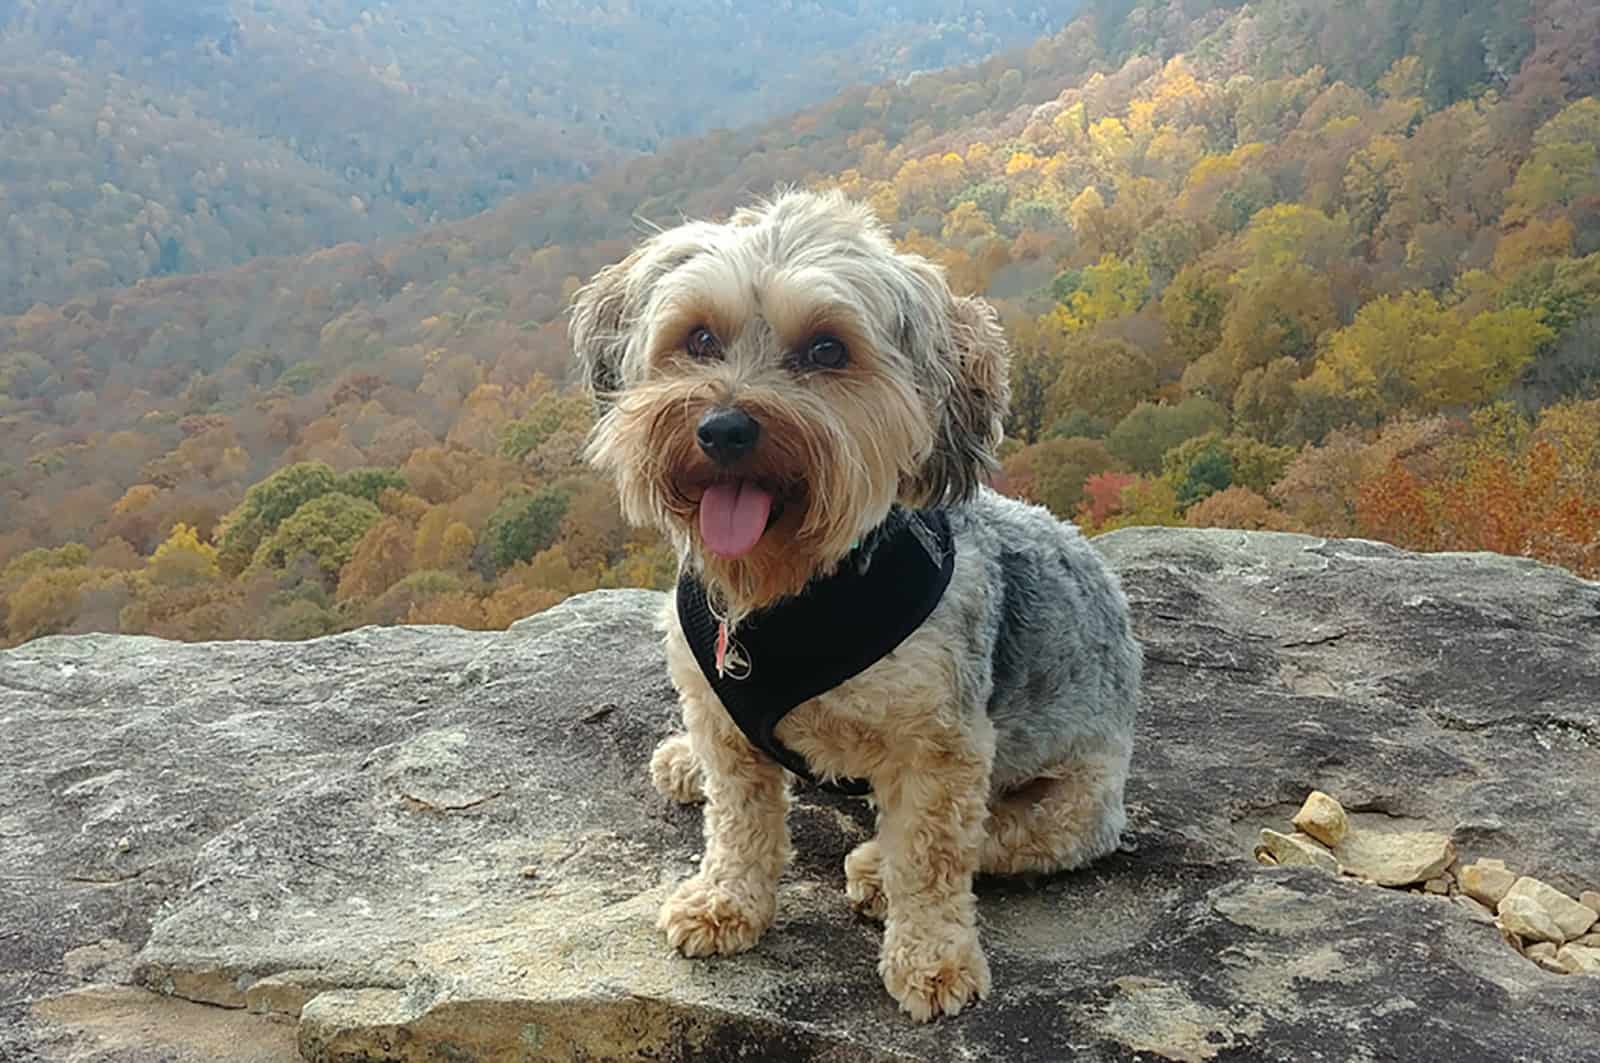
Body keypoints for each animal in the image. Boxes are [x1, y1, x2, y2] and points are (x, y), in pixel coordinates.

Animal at [569, 188, 1145, 1024]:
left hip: (1078, 802)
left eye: (827, 350)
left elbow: (933, 856)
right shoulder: (721, 715)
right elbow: (739, 819)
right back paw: (685, 760)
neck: (790, 595)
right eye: (699, 337)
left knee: (997, 836)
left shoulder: (942, 746)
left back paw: (875, 866)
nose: (724, 427)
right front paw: (726, 900)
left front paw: (932, 956)